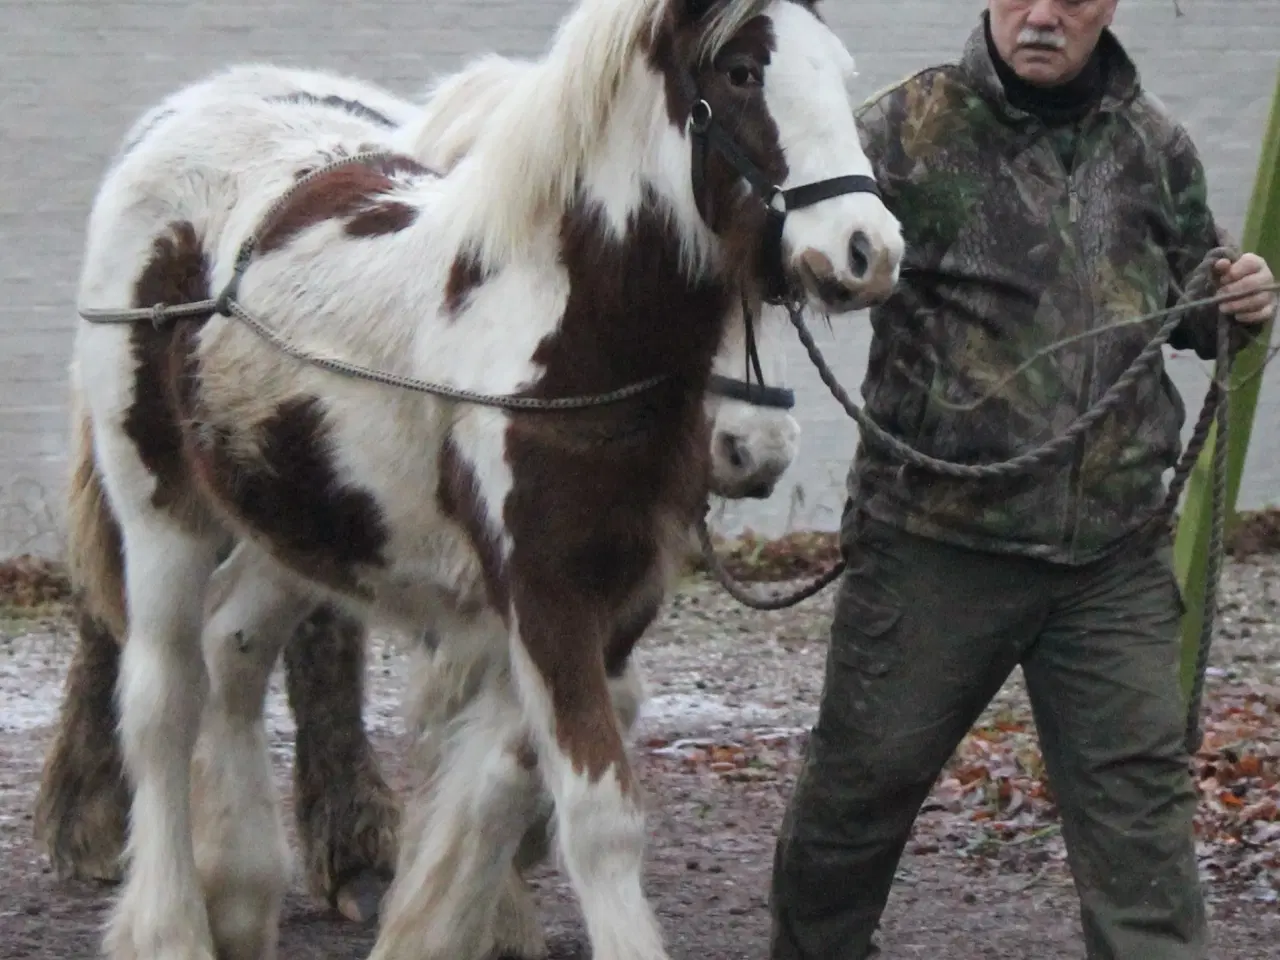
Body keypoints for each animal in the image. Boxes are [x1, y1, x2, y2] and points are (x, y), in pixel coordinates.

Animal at [64, 1, 901, 960]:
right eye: (740, 73)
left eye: (837, 69)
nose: (870, 251)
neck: (554, 335)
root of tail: (188, 111)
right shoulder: (544, 594)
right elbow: (597, 817)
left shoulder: (607, 605)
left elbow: (495, 787)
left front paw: (431, 925)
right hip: (161, 508)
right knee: (163, 700)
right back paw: (170, 925)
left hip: (307, 524)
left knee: (232, 642)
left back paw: (240, 894)